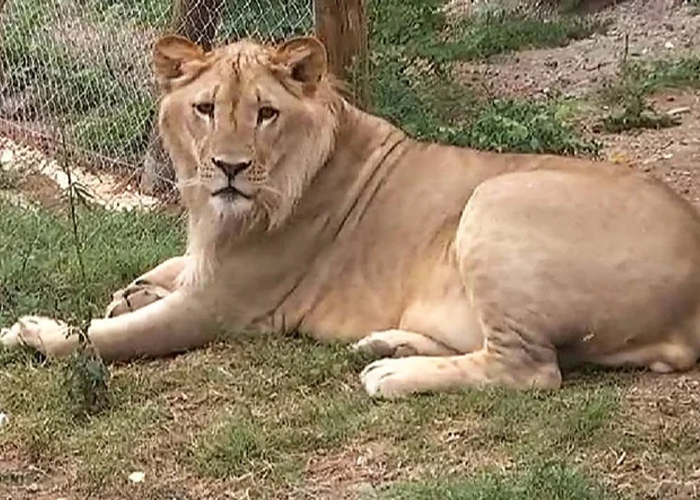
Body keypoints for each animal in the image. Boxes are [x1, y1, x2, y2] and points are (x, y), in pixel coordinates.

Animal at [4, 35, 700, 398]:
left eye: (265, 113)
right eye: (205, 109)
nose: (228, 167)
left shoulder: (219, 308)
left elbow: (100, 337)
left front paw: (32, 331)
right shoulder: (204, 257)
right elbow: (167, 268)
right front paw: (132, 288)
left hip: (495, 200)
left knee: (530, 369)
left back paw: (389, 372)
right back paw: (385, 342)